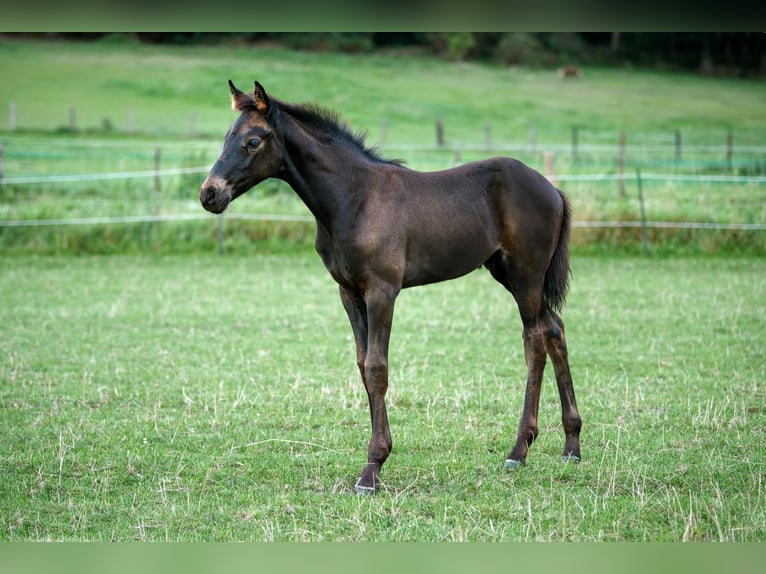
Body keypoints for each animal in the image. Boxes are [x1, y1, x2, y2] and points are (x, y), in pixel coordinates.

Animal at [200, 81, 584, 496]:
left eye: (252, 141)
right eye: (227, 137)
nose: (209, 194)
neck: (354, 198)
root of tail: (552, 189)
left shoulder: (381, 291)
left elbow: (377, 367)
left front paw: (371, 469)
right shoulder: (349, 292)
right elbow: (362, 364)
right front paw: (376, 459)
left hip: (525, 275)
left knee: (534, 340)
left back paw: (519, 450)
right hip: (509, 274)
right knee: (554, 329)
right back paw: (571, 444)